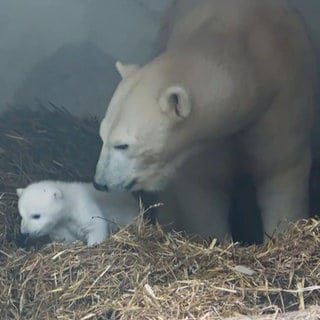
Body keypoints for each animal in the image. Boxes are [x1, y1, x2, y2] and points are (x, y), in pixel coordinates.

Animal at [93, 0, 318, 240]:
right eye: (102, 135)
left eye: (123, 145)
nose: (99, 182)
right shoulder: (205, 142)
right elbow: (205, 188)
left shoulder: (280, 103)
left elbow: (280, 171)